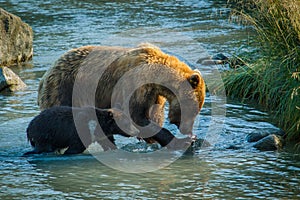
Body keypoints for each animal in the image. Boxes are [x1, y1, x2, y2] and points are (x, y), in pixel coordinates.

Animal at [37, 43, 206, 149]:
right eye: (193, 109)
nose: (187, 129)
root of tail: (45, 75)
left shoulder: (153, 96)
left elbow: (153, 116)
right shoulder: (135, 84)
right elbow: (136, 116)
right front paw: (182, 141)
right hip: (64, 88)